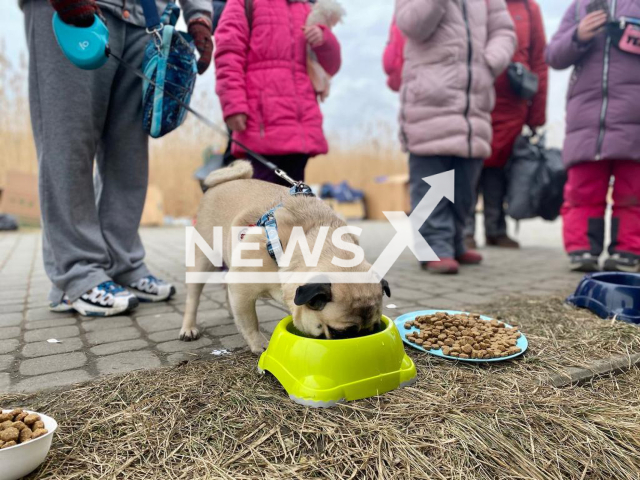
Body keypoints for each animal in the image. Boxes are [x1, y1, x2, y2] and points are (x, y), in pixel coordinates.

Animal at [180, 161, 390, 352]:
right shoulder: (241, 286)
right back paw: (188, 328)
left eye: (374, 328)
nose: (360, 341)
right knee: (193, 297)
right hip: (203, 259)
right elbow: (250, 321)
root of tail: (223, 183)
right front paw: (259, 344)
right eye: (338, 333)